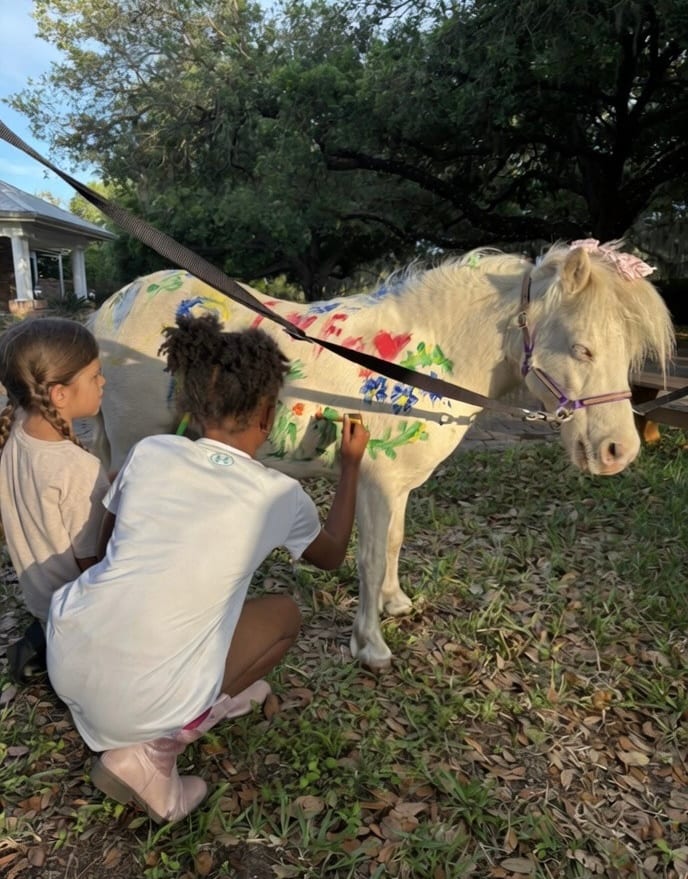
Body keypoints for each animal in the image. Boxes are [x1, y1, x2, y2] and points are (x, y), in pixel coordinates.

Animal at [85, 242, 674, 669]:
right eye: (582, 348)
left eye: (627, 352)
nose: (617, 451)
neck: (418, 362)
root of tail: (112, 310)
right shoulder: (375, 482)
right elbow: (368, 555)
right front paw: (370, 645)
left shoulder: (399, 486)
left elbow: (393, 542)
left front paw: (394, 603)